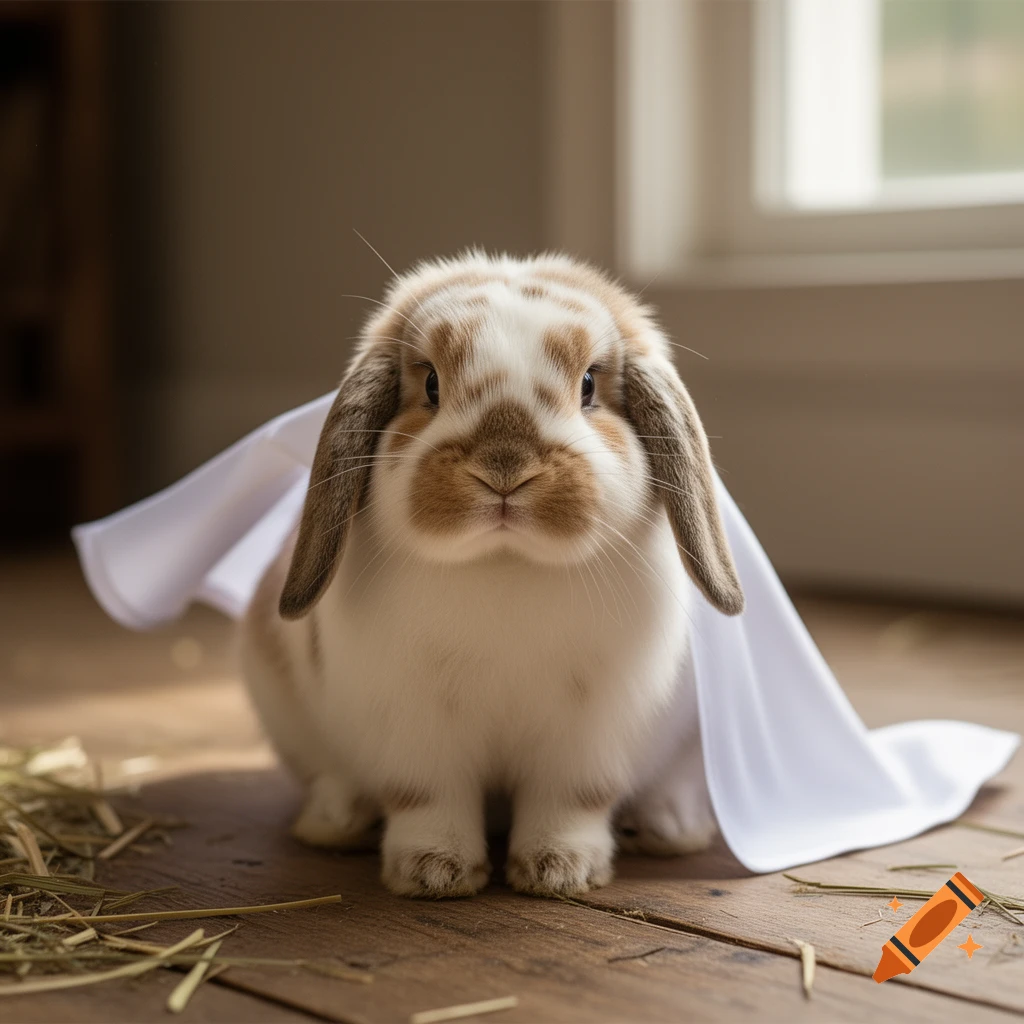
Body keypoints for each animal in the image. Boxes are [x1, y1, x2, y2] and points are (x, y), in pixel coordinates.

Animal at [240, 251, 744, 898]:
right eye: (431, 384)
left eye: (588, 385)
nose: (505, 467)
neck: (505, 564)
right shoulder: (413, 726)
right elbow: (426, 799)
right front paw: (435, 872)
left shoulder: (589, 734)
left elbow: (570, 802)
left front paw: (559, 871)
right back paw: (334, 821)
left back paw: (671, 829)